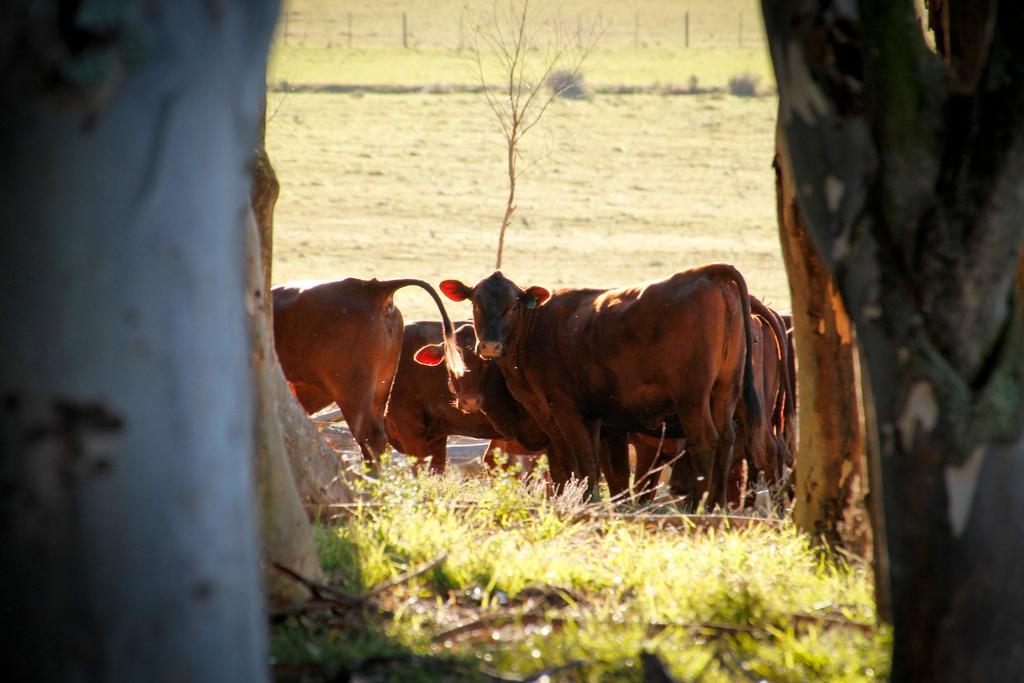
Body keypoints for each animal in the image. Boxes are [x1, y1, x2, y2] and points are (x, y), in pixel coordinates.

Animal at [436, 266, 765, 507]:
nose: (489, 346)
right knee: (727, 438)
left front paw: (580, 501)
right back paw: (717, 506)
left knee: (705, 440)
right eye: (476, 304)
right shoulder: (592, 417)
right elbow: (592, 463)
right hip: (725, 390)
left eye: (512, 307)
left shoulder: (562, 410)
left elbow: (574, 460)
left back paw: (699, 505)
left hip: (692, 396)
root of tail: (705, 273)